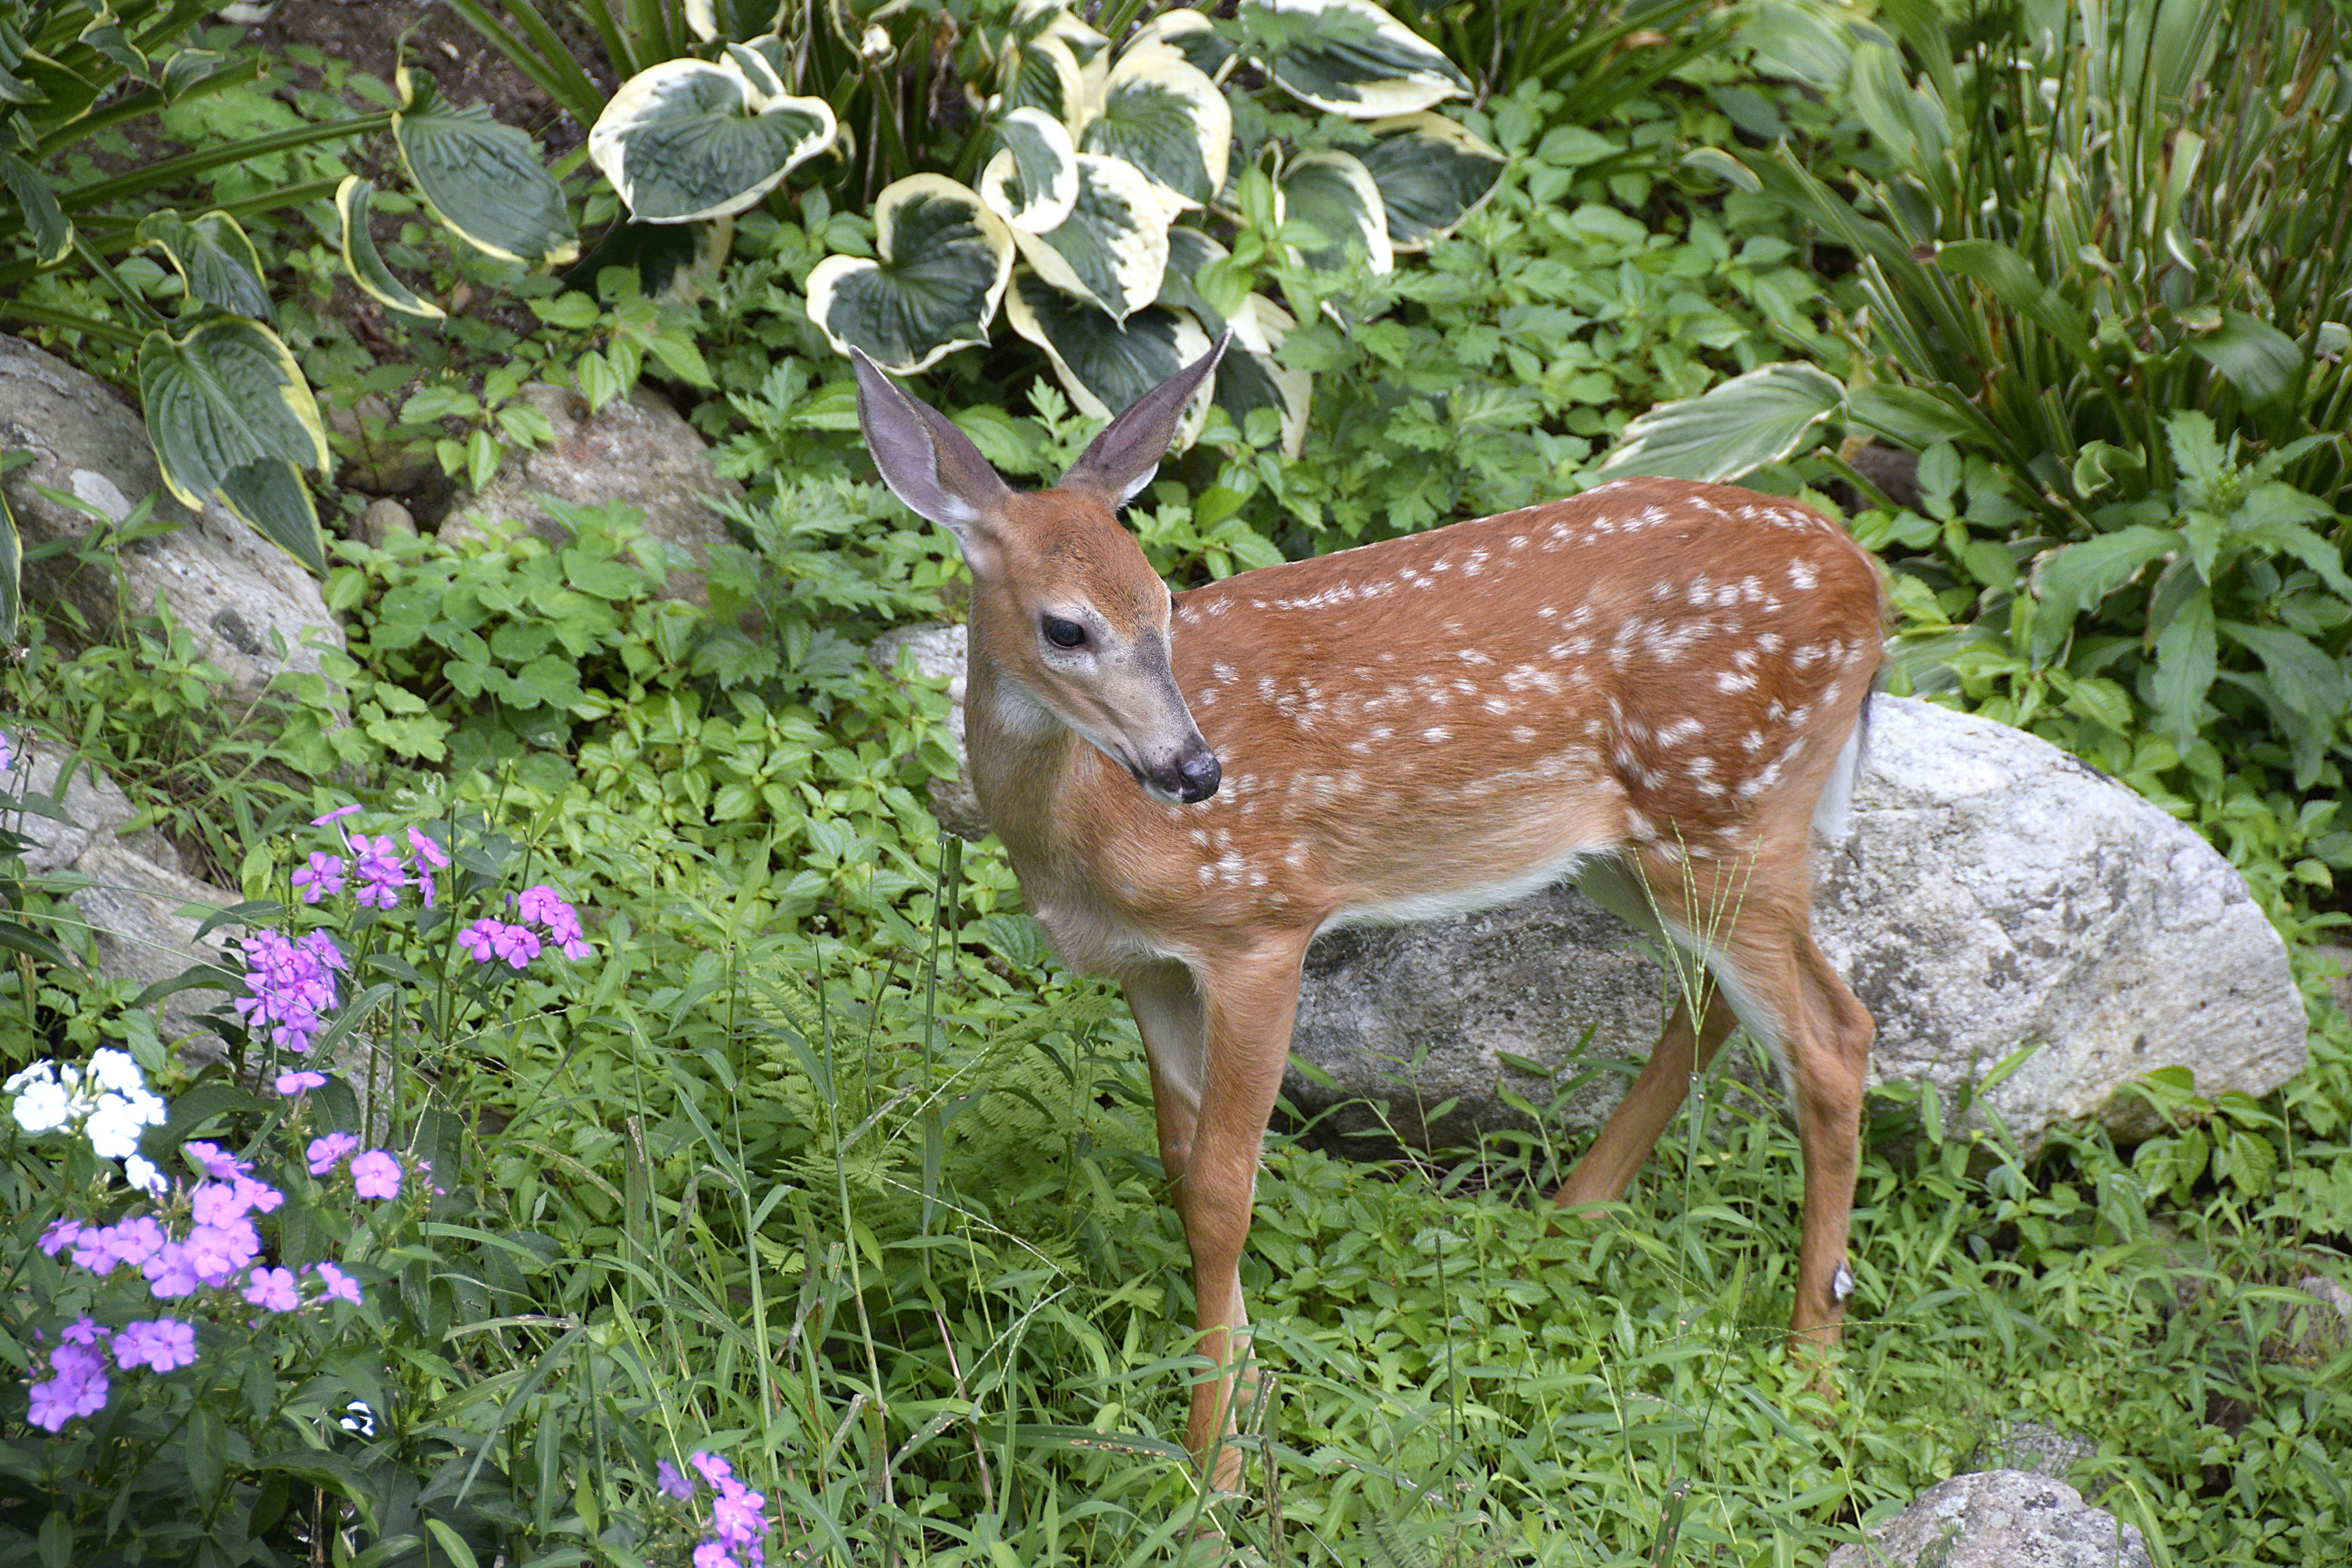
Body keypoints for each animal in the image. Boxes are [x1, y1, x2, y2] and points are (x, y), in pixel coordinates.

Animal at [850, 334, 1884, 1492]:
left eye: (1164, 603)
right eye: (1065, 627)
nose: (1196, 770)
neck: (1092, 837)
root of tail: (1870, 584)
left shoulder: (1261, 923)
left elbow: (1224, 1194)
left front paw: (1213, 1473)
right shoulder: (1151, 966)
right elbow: (1183, 1165)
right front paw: (1249, 1401)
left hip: (1730, 805)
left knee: (1834, 1036)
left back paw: (1812, 1373)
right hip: (1643, 846)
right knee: (1721, 1005)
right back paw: (1568, 1219)